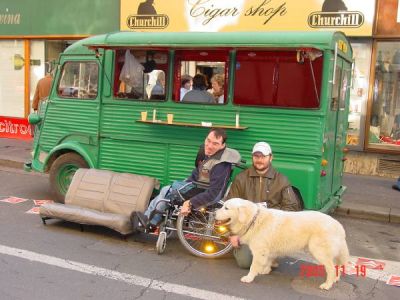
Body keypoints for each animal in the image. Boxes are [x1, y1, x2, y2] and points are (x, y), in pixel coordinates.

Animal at [214, 198, 348, 290]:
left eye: (226, 208)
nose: (214, 212)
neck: (253, 220)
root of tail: (339, 225)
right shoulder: (267, 250)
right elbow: (268, 261)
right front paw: (265, 270)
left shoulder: (260, 251)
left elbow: (253, 266)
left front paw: (249, 278)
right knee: (337, 265)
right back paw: (335, 279)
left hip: (319, 251)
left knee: (331, 268)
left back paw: (327, 284)